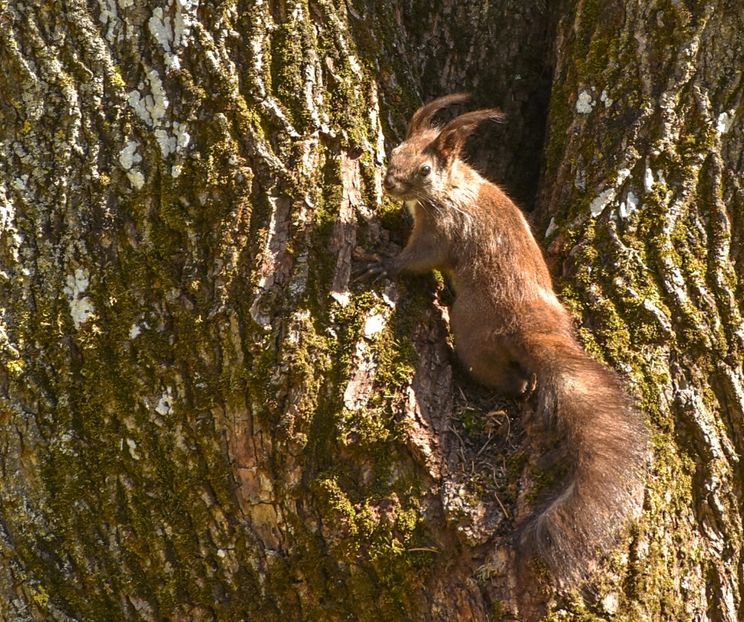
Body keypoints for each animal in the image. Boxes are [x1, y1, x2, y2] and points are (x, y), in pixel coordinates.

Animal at [370, 95, 648, 592]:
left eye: (424, 169)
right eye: (395, 150)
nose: (389, 183)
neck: (455, 188)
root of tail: (535, 329)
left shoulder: (442, 231)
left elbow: (418, 259)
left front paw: (385, 263)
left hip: (473, 329)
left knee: (507, 379)